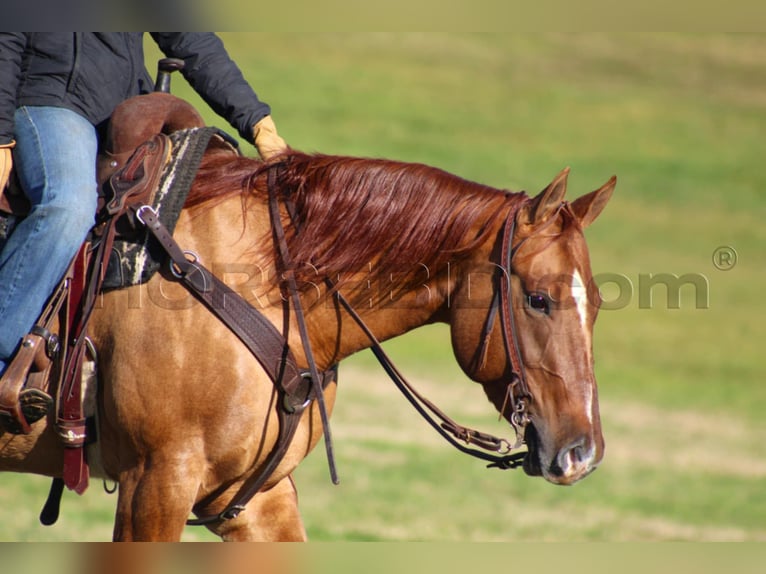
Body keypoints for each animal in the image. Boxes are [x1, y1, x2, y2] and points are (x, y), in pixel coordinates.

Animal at [0, 147, 612, 540]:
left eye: (600, 302)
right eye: (539, 298)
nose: (582, 453)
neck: (267, 288)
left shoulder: (253, 497)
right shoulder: (153, 483)